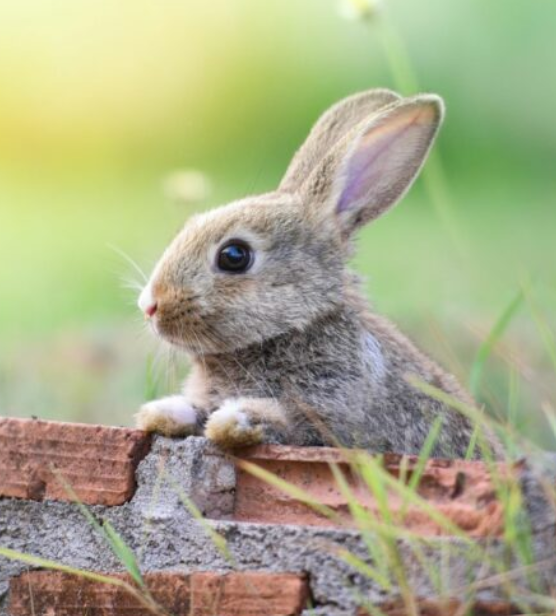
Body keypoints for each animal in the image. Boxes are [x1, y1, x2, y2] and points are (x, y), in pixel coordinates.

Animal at [136, 89, 500, 460]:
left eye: (234, 256)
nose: (149, 305)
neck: (295, 327)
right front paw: (162, 412)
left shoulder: (332, 413)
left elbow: (287, 420)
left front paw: (235, 420)